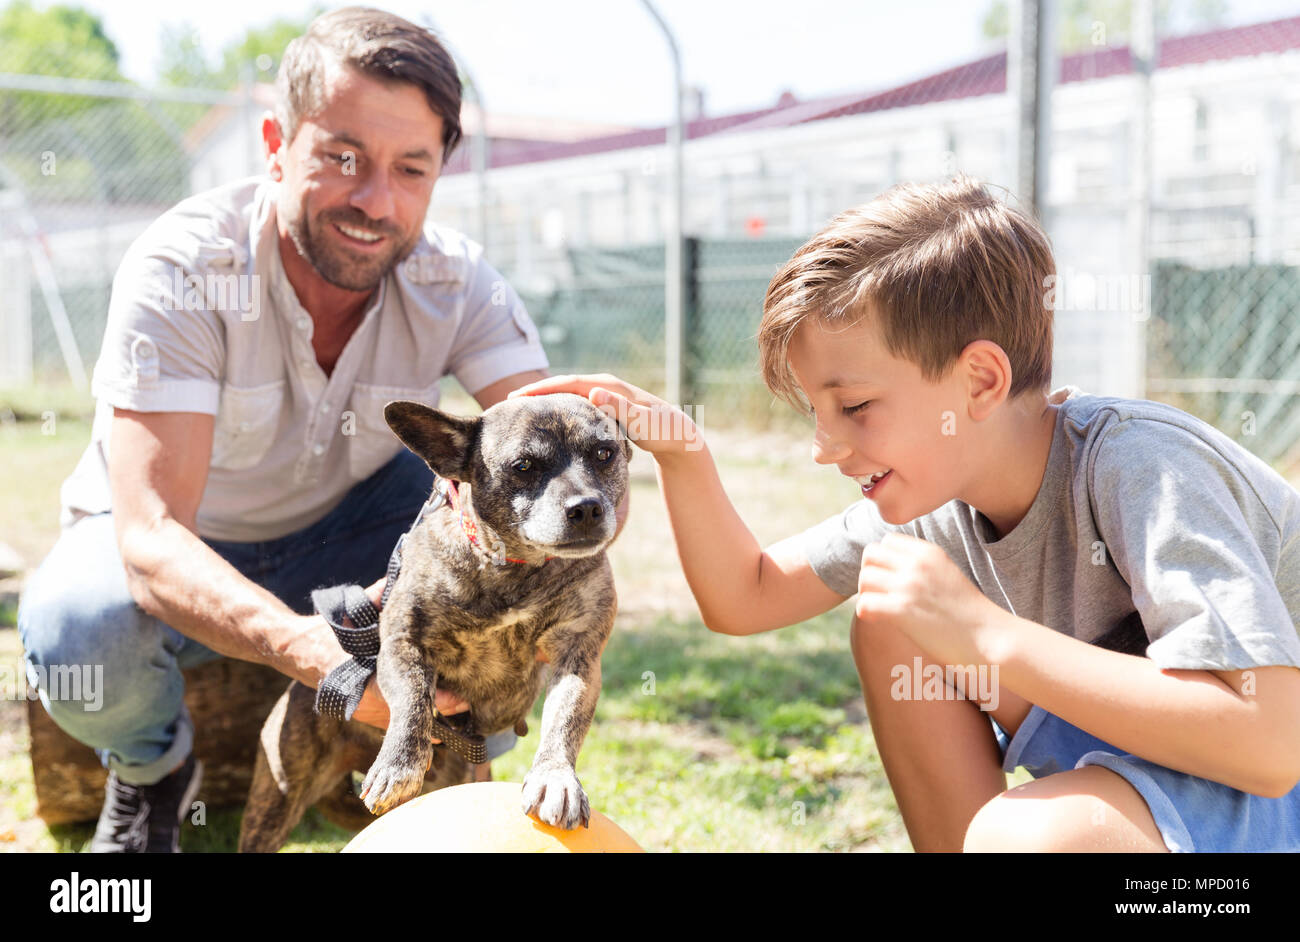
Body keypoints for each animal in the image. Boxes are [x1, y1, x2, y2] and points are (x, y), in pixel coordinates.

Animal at [244, 392, 634, 852]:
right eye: (523, 466)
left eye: (605, 454)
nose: (587, 508)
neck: (512, 566)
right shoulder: (403, 644)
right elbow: (414, 698)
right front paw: (399, 765)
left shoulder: (578, 658)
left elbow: (564, 721)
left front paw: (556, 779)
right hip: (278, 796)